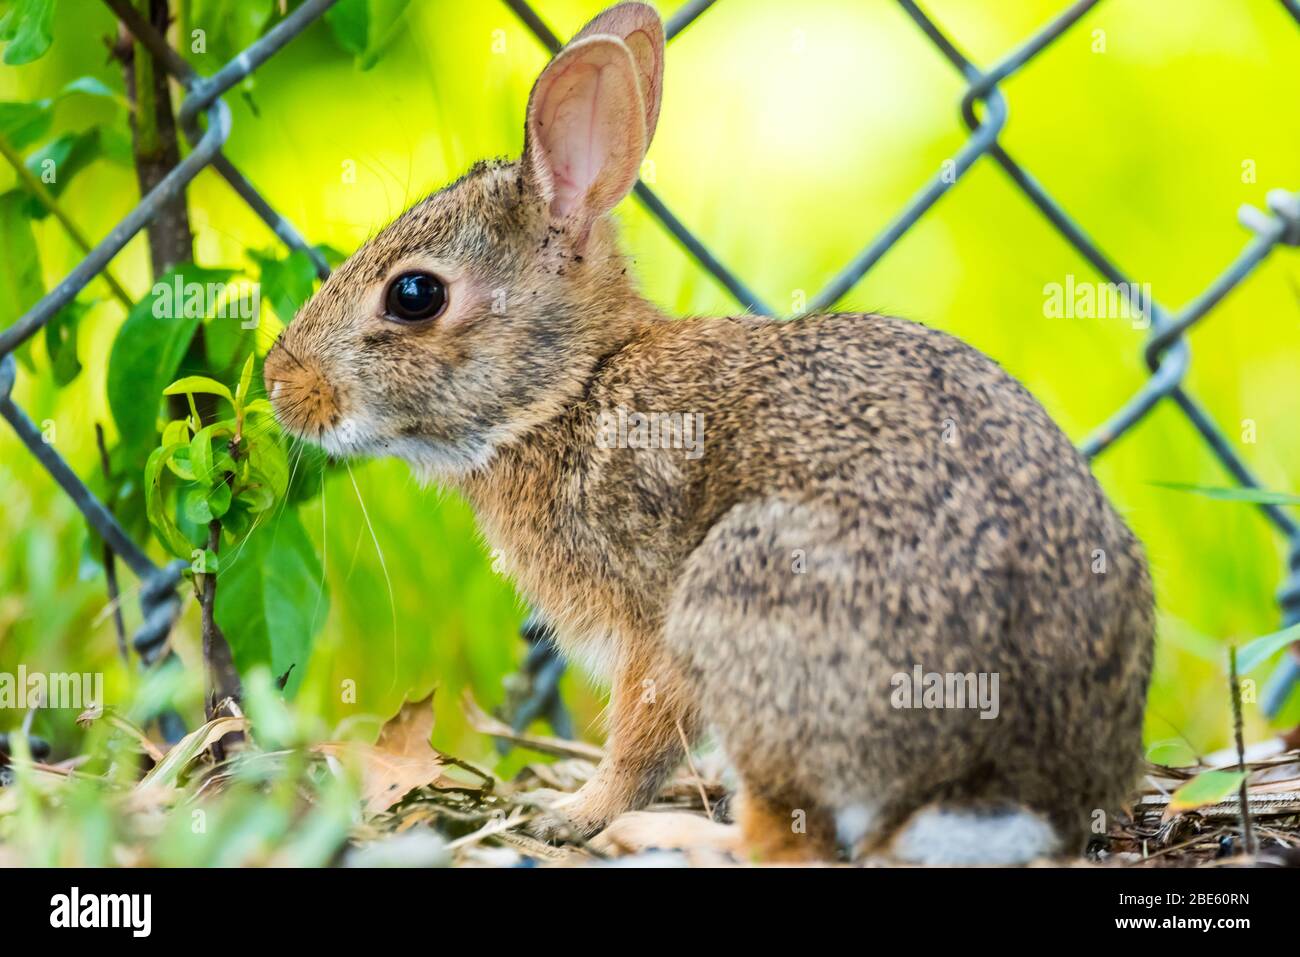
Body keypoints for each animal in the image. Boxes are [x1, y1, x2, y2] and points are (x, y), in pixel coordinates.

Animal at [258, 0, 1154, 863]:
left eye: (414, 295)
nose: (279, 383)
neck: (569, 390)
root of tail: (1006, 790)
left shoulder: (652, 626)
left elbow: (640, 738)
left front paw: (574, 812)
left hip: (747, 598)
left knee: (788, 841)